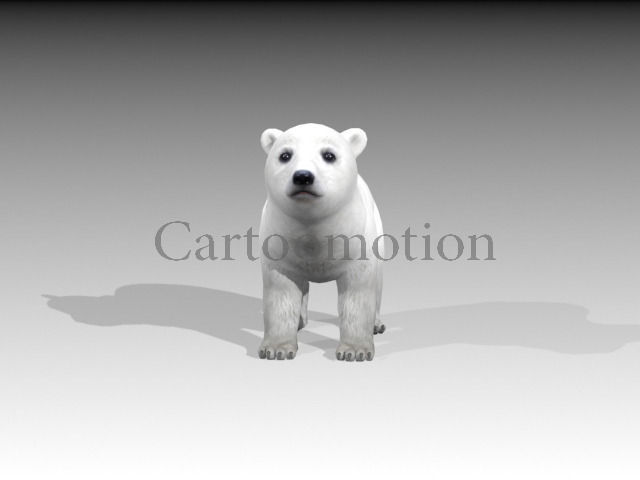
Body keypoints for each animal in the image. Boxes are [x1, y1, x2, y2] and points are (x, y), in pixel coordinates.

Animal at [258, 123, 385, 362]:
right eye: (285, 155)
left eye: (329, 155)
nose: (303, 176)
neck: (313, 224)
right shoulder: (280, 242)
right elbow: (281, 293)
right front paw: (276, 349)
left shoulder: (356, 242)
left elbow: (357, 292)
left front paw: (354, 351)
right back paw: (300, 321)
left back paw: (377, 324)